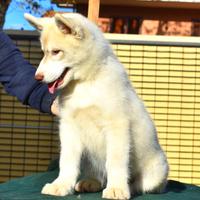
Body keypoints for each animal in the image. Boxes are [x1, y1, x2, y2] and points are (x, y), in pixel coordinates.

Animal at [25, 13, 169, 199]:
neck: (85, 83)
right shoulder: (69, 127)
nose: (37, 77)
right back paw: (91, 182)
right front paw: (61, 184)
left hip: (155, 173)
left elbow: (115, 161)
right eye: (43, 52)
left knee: (141, 184)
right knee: (98, 175)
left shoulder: (117, 125)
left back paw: (128, 187)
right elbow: (67, 161)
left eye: (56, 52)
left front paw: (116, 188)